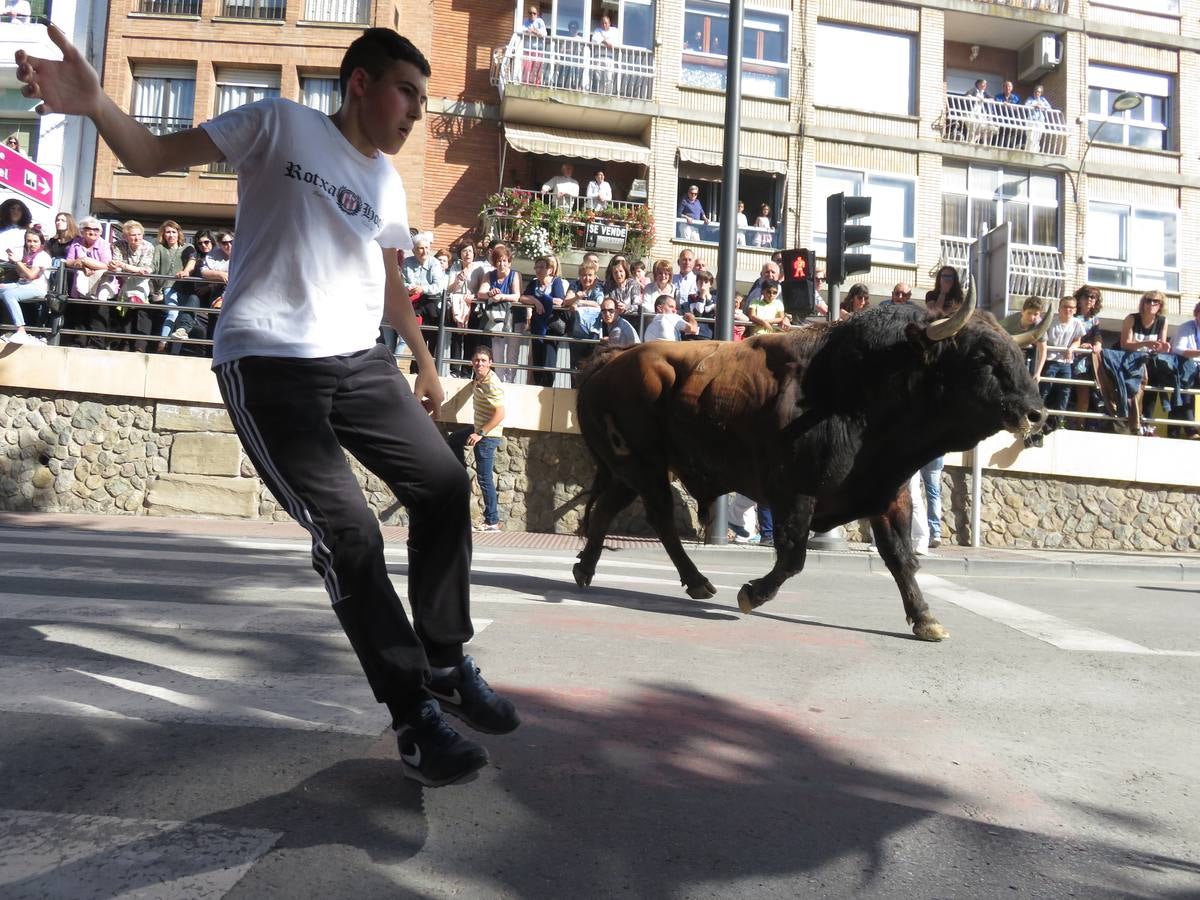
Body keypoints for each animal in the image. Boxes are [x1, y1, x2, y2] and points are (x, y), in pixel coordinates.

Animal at [573, 289, 1051, 643]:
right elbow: (793, 557)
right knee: (657, 518)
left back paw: (587, 570)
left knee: (609, 509)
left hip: (633, 472)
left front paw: (926, 618)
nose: (1037, 414)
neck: (861, 387)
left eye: (1017, 352)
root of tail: (610, 360)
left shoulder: (887, 495)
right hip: (644, 467)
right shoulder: (796, 495)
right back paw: (696, 581)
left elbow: (901, 559)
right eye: (982, 356)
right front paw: (750, 594)